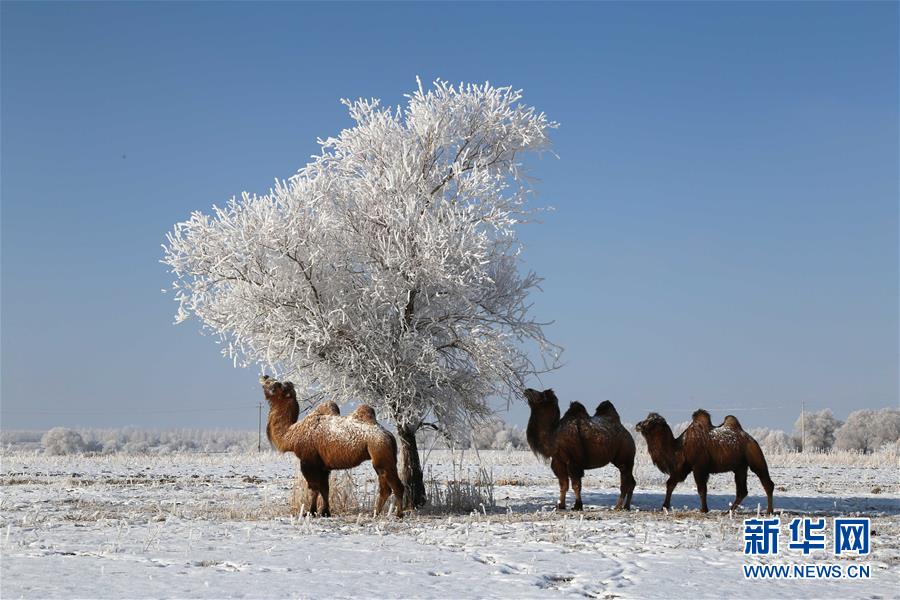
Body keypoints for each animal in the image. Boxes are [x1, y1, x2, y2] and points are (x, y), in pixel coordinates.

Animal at [258, 376, 402, 516]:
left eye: (276, 385)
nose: (265, 377)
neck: (291, 434)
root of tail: (389, 435)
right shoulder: (323, 466)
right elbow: (325, 489)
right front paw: (325, 512)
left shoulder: (308, 461)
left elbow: (314, 488)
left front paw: (310, 512)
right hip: (384, 457)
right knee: (385, 487)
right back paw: (376, 513)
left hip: (380, 452)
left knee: (396, 486)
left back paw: (398, 514)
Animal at [636, 410, 776, 512]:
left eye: (652, 421)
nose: (638, 425)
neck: (680, 448)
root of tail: (751, 439)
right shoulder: (682, 468)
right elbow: (670, 484)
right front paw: (664, 506)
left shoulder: (699, 467)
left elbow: (701, 489)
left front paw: (703, 509)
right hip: (740, 467)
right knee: (742, 491)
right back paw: (728, 511)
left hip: (755, 458)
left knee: (767, 483)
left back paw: (769, 511)